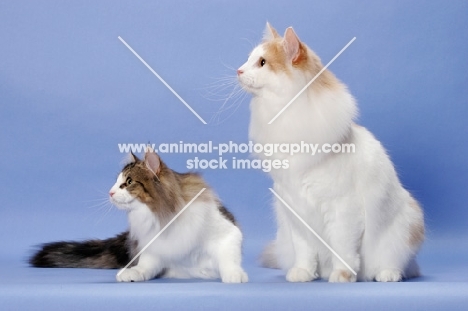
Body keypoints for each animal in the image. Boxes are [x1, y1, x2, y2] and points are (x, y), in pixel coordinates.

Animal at [29, 150, 249, 284]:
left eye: (128, 182)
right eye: (116, 182)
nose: (110, 192)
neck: (163, 216)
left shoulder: (227, 233)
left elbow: (228, 258)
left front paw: (234, 274)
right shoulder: (155, 248)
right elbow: (145, 266)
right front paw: (132, 273)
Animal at [238, 23, 424, 282]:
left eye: (262, 62)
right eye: (248, 60)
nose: (239, 71)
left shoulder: (342, 208)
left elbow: (343, 249)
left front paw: (343, 275)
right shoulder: (295, 210)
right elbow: (305, 252)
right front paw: (303, 273)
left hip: (406, 224)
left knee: (398, 265)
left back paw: (386, 274)